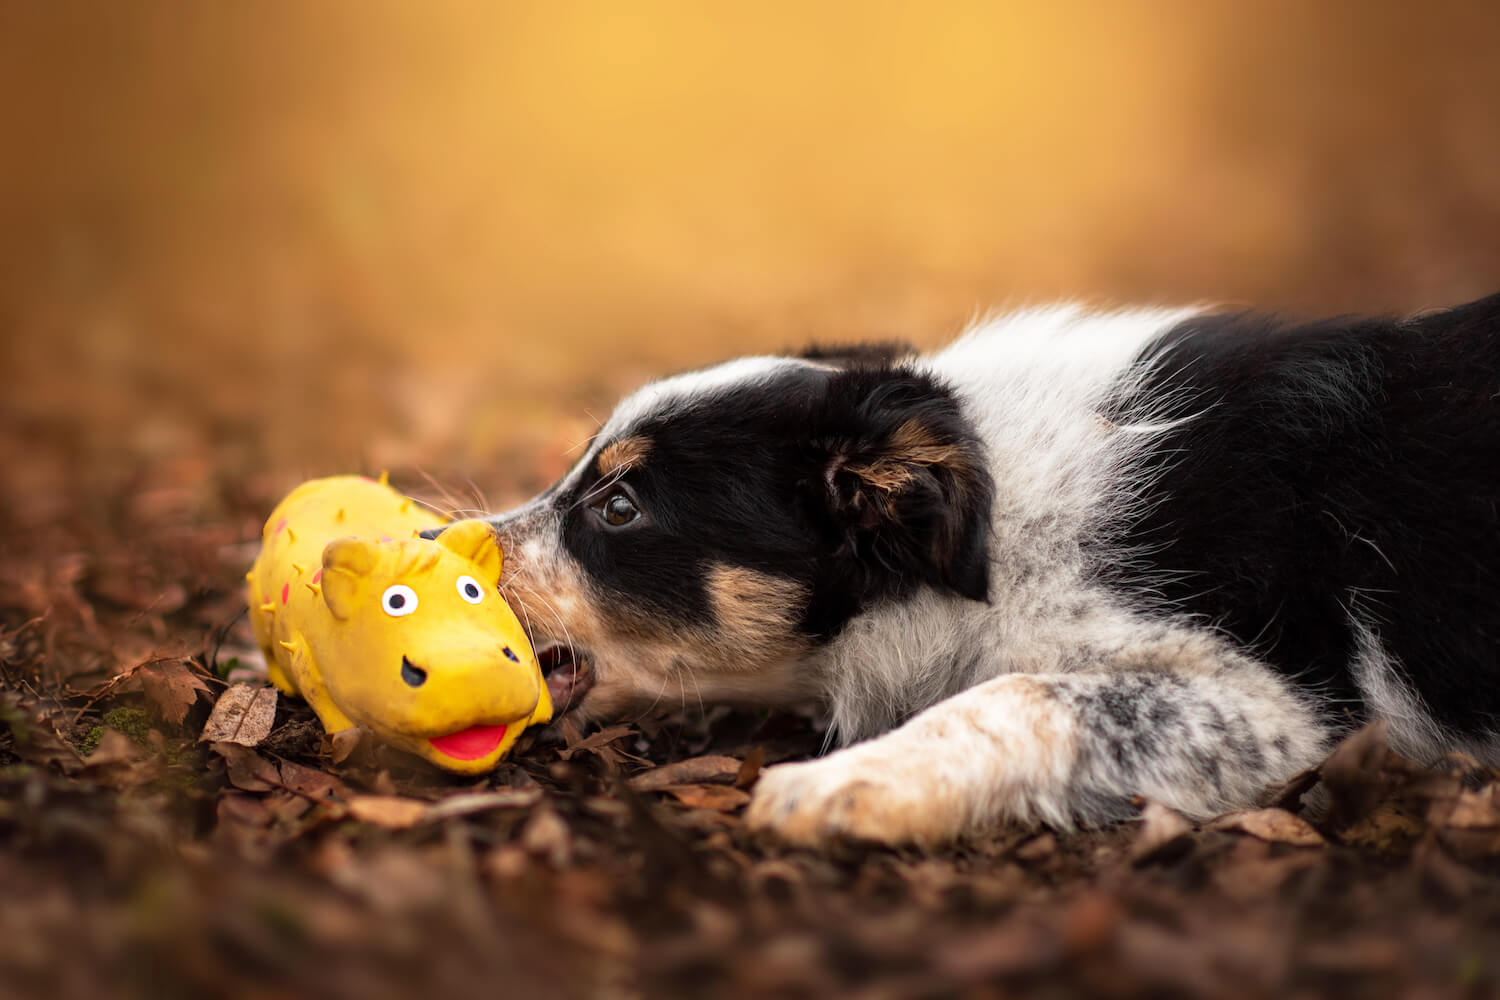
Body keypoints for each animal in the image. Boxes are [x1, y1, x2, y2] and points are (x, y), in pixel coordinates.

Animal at [456, 290, 1500, 845]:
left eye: (620, 507)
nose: (441, 550)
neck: (992, 530)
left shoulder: (1282, 708)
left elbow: (1019, 692)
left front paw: (841, 786)